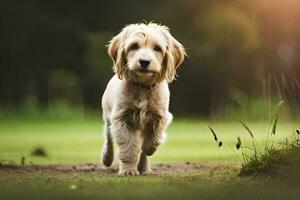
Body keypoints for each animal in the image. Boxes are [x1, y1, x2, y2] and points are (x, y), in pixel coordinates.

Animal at [101, 22, 185, 175]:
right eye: (134, 46)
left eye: (157, 48)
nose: (144, 62)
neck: (142, 86)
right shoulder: (121, 118)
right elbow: (128, 147)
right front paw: (128, 170)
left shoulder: (160, 116)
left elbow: (152, 141)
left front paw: (146, 150)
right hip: (108, 118)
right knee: (109, 139)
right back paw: (107, 158)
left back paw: (144, 167)